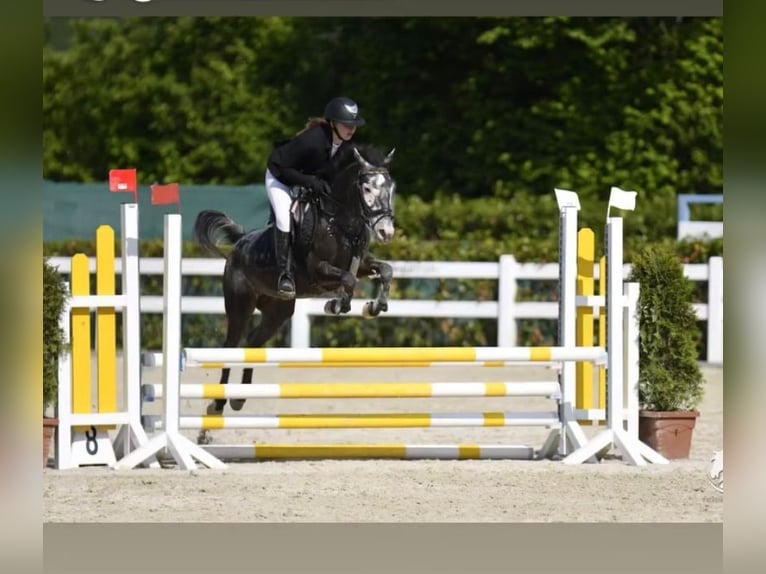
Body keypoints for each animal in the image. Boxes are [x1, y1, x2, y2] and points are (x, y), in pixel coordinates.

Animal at [194, 145, 396, 428]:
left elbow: (385, 270)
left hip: (278, 311)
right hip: (240, 306)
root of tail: (239, 244)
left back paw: (239, 398)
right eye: (366, 188)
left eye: (390, 187)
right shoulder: (318, 271)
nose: (387, 232)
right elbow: (348, 280)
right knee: (231, 346)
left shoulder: (363, 263)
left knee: (253, 342)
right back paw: (218, 404)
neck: (340, 222)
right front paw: (337, 304)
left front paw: (373, 307)